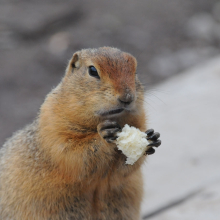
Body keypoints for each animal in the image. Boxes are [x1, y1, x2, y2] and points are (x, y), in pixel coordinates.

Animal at [0, 47, 162, 219]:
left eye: (135, 71)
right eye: (93, 71)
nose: (127, 97)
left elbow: (122, 172)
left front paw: (152, 139)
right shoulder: (52, 126)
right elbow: (73, 155)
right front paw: (104, 135)